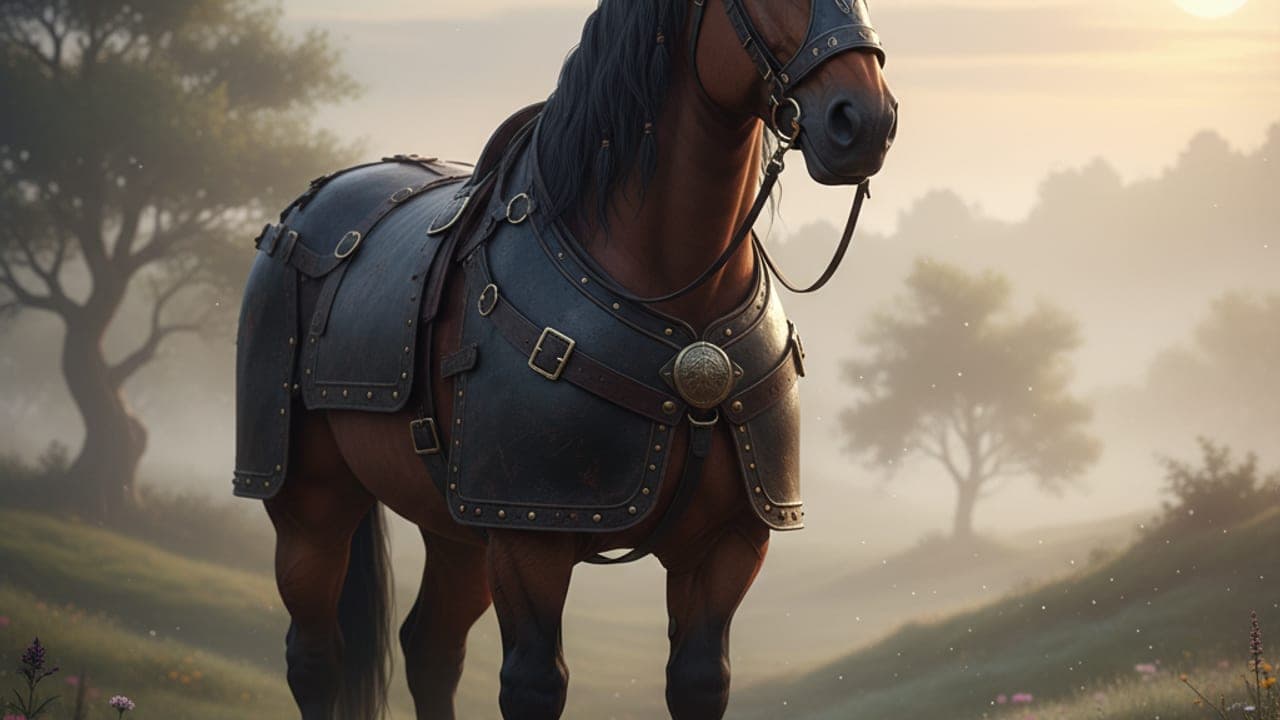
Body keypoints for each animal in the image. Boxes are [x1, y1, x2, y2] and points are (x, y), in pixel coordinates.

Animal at [237, 1, 896, 718]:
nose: (864, 122)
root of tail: (304, 209)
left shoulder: (727, 544)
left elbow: (699, 680)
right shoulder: (528, 537)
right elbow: (534, 683)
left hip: (456, 527)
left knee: (431, 647)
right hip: (309, 506)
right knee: (315, 658)